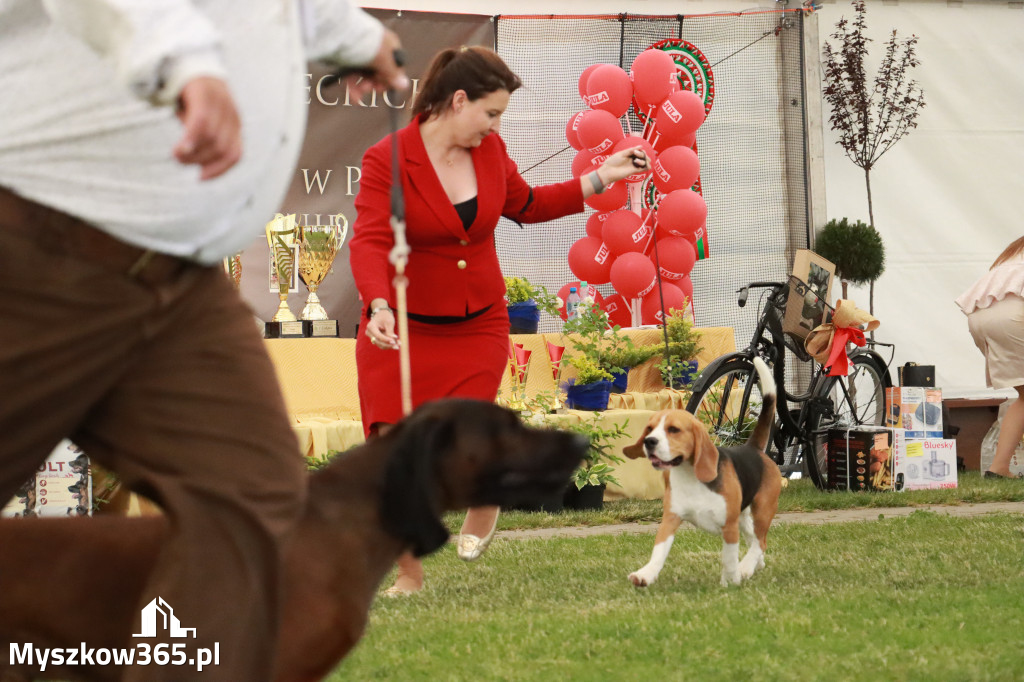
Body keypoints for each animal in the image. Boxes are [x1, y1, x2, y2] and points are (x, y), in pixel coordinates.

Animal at [618, 356, 778, 585]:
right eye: (649, 429)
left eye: (673, 430)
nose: (649, 441)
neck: (690, 477)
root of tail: (753, 448)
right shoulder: (670, 518)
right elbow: (658, 551)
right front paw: (645, 574)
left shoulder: (729, 526)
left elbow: (729, 558)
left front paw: (731, 580)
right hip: (744, 516)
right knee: (754, 537)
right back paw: (757, 564)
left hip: (763, 508)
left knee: (760, 541)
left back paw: (746, 567)